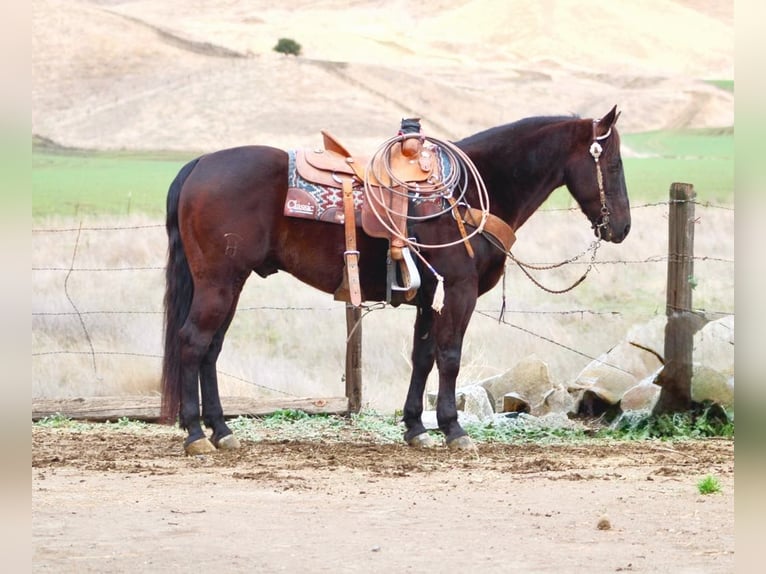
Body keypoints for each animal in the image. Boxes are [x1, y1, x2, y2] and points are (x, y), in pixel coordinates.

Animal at [160, 104, 632, 454]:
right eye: (613, 163)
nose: (622, 228)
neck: (467, 193)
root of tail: (199, 164)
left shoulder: (428, 296)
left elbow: (422, 357)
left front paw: (416, 428)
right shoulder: (459, 290)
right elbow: (449, 355)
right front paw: (453, 430)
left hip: (229, 284)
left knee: (211, 349)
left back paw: (222, 431)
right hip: (219, 282)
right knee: (194, 342)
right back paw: (196, 434)